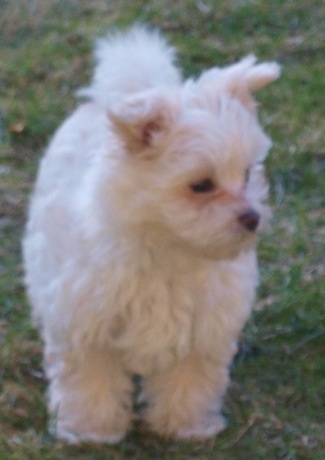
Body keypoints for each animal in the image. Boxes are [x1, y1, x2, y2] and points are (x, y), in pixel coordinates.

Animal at [22, 25, 278, 442]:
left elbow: (191, 379)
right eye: (202, 185)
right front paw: (92, 431)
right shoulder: (86, 325)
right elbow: (90, 379)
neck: (167, 247)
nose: (252, 217)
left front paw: (187, 427)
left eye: (246, 174)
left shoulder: (202, 329)